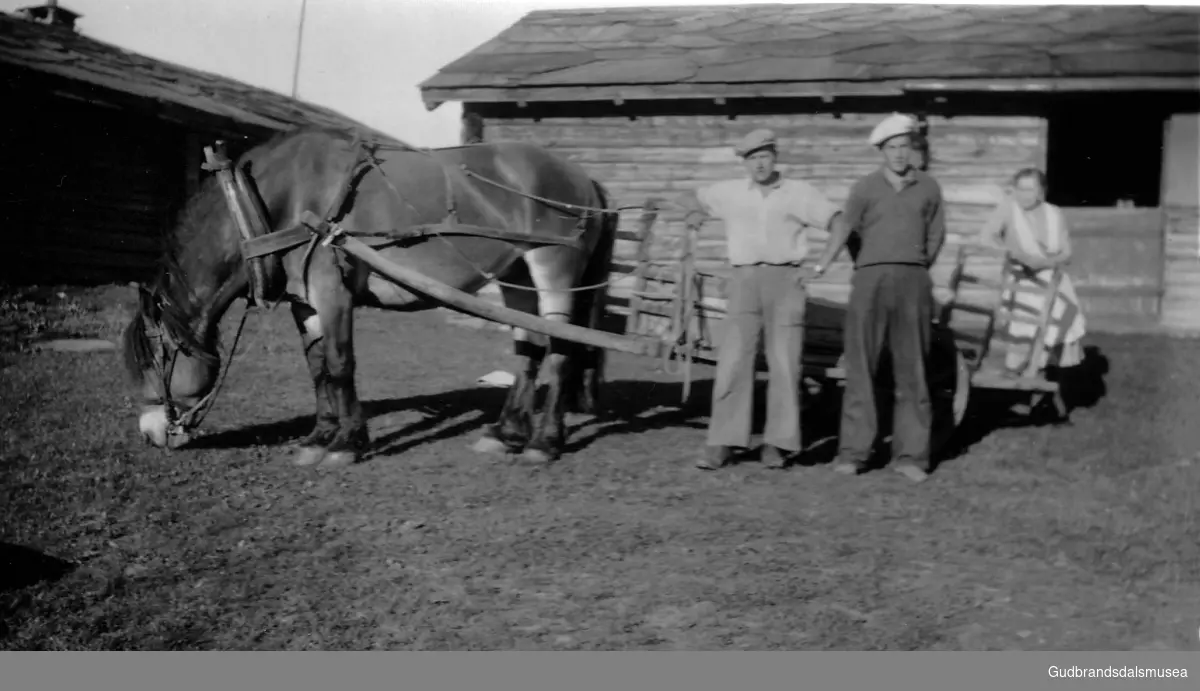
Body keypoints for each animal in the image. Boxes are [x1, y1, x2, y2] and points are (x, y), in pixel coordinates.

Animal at [123, 127, 619, 467]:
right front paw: (318, 438)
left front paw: (347, 443)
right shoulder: (305, 302)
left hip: (554, 270)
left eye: (153, 360)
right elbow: (318, 369)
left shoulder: (333, 291)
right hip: (517, 276)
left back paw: (543, 442)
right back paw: (506, 433)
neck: (275, 202)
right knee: (527, 348)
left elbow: (341, 365)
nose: (150, 434)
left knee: (561, 351)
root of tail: (586, 180)